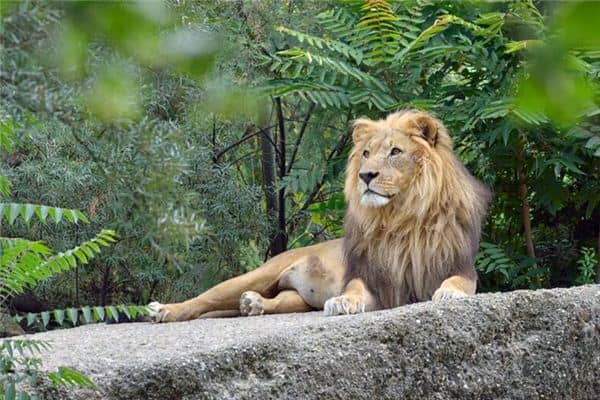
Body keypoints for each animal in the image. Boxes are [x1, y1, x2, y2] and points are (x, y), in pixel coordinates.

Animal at [148, 109, 490, 322]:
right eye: (366, 154)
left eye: (395, 152)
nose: (366, 175)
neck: (401, 217)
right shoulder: (374, 280)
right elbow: (354, 289)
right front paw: (342, 301)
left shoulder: (460, 267)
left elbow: (458, 282)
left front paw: (448, 293)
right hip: (259, 273)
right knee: (205, 299)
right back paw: (165, 310)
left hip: (295, 297)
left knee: (275, 301)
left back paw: (253, 304)